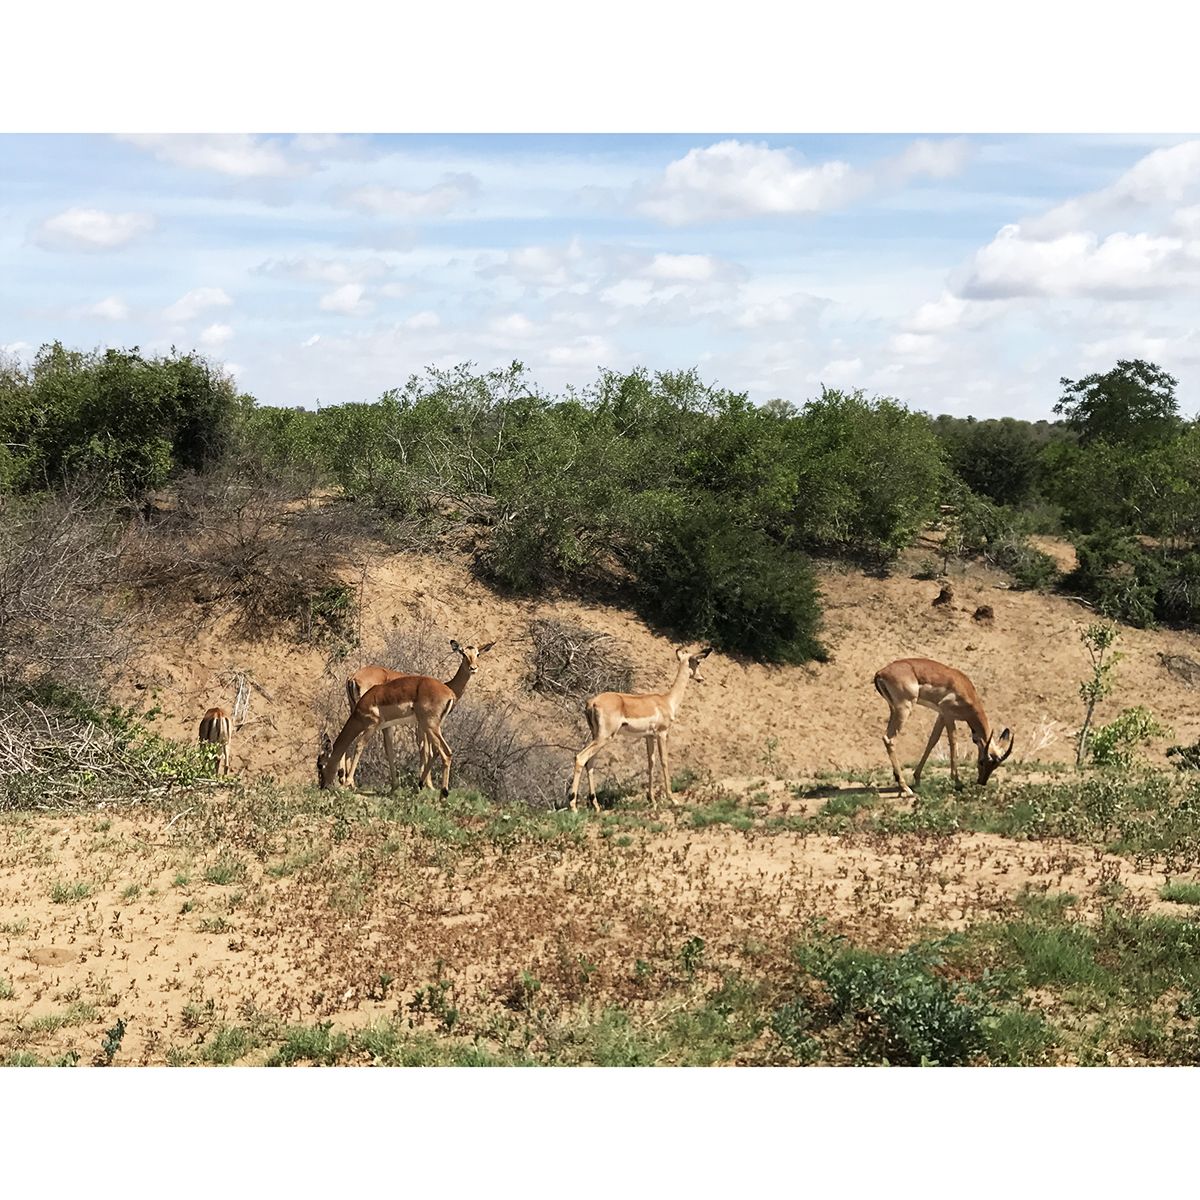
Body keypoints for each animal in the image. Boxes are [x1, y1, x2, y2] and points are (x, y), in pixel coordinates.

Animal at [318, 640, 494, 795]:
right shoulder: (420, 724)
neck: (449, 687)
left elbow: (422, 750)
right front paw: (427, 785)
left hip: (356, 711)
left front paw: (420, 784)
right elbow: (425, 749)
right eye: (463, 653)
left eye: (478, 654)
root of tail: (352, 677)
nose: (473, 668)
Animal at [569, 646, 713, 812]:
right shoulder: (662, 733)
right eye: (698, 662)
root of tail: (591, 702)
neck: (667, 701)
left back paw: (596, 806)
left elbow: (651, 763)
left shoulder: (648, 736)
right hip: (604, 737)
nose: (701, 678)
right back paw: (573, 807)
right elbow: (664, 761)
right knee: (580, 758)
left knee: (590, 763)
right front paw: (673, 799)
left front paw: (652, 800)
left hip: (596, 736)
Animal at [873, 657, 1013, 800]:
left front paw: (917, 778)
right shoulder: (948, 714)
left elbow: (932, 740)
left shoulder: (941, 715)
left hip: (894, 710)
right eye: (982, 762)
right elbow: (953, 742)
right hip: (904, 709)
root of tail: (881, 672)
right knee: (889, 739)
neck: (965, 689)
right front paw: (957, 781)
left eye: (995, 766)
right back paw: (906, 788)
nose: (982, 782)